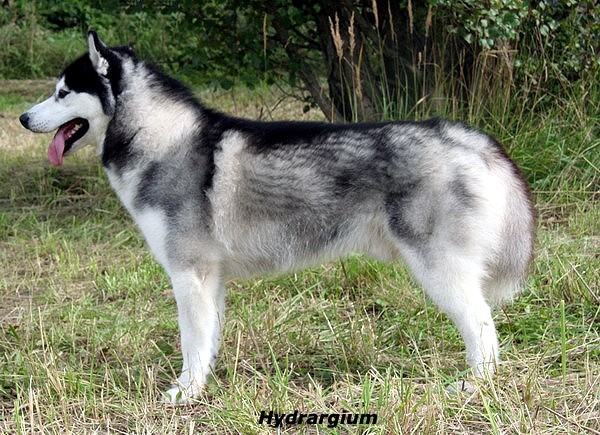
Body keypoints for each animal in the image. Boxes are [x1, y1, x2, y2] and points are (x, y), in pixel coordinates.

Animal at [19, 32, 536, 404]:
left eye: (62, 93)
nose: (23, 118)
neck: (159, 138)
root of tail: (467, 135)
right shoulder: (211, 277)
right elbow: (206, 339)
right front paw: (202, 385)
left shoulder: (189, 272)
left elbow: (189, 341)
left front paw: (184, 394)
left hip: (440, 270)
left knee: (484, 331)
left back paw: (474, 386)